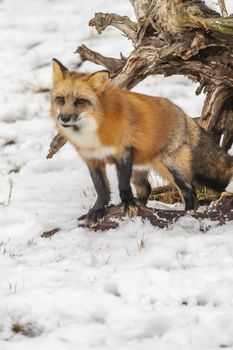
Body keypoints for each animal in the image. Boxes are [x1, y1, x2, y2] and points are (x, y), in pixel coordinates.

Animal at [51, 58, 233, 227]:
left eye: (80, 101)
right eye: (60, 99)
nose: (64, 118)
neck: (92, 136)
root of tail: (184, 115)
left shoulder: (123, 153)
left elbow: (123, 186)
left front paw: (128, 205)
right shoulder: (92, 159)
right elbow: (101, 189)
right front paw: (97, 211)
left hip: (171, 167)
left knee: (190, 193)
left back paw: (184, 216)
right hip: (138, 169)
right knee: (147, 188)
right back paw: (143, 207)